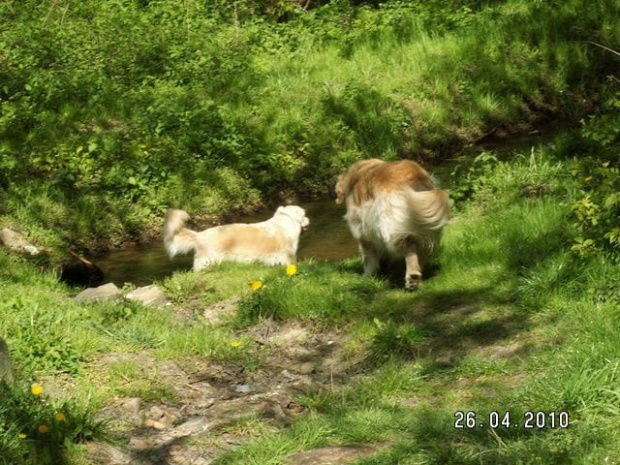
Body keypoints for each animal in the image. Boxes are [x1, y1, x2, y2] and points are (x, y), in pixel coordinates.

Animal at [165, 206, 310, 270]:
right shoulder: (288, 258)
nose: (309, 219)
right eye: (304, 215)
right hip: (208, 261)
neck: (284, 222)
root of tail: (199, 235)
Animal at [334, 160, 450, 290]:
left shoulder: (363, 231)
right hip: (427, 227)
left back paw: (412, 277)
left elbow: (368, 256)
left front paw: (367, 275)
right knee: (423, 250)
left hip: (391, 228)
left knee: (409, 249)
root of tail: (415, 175)